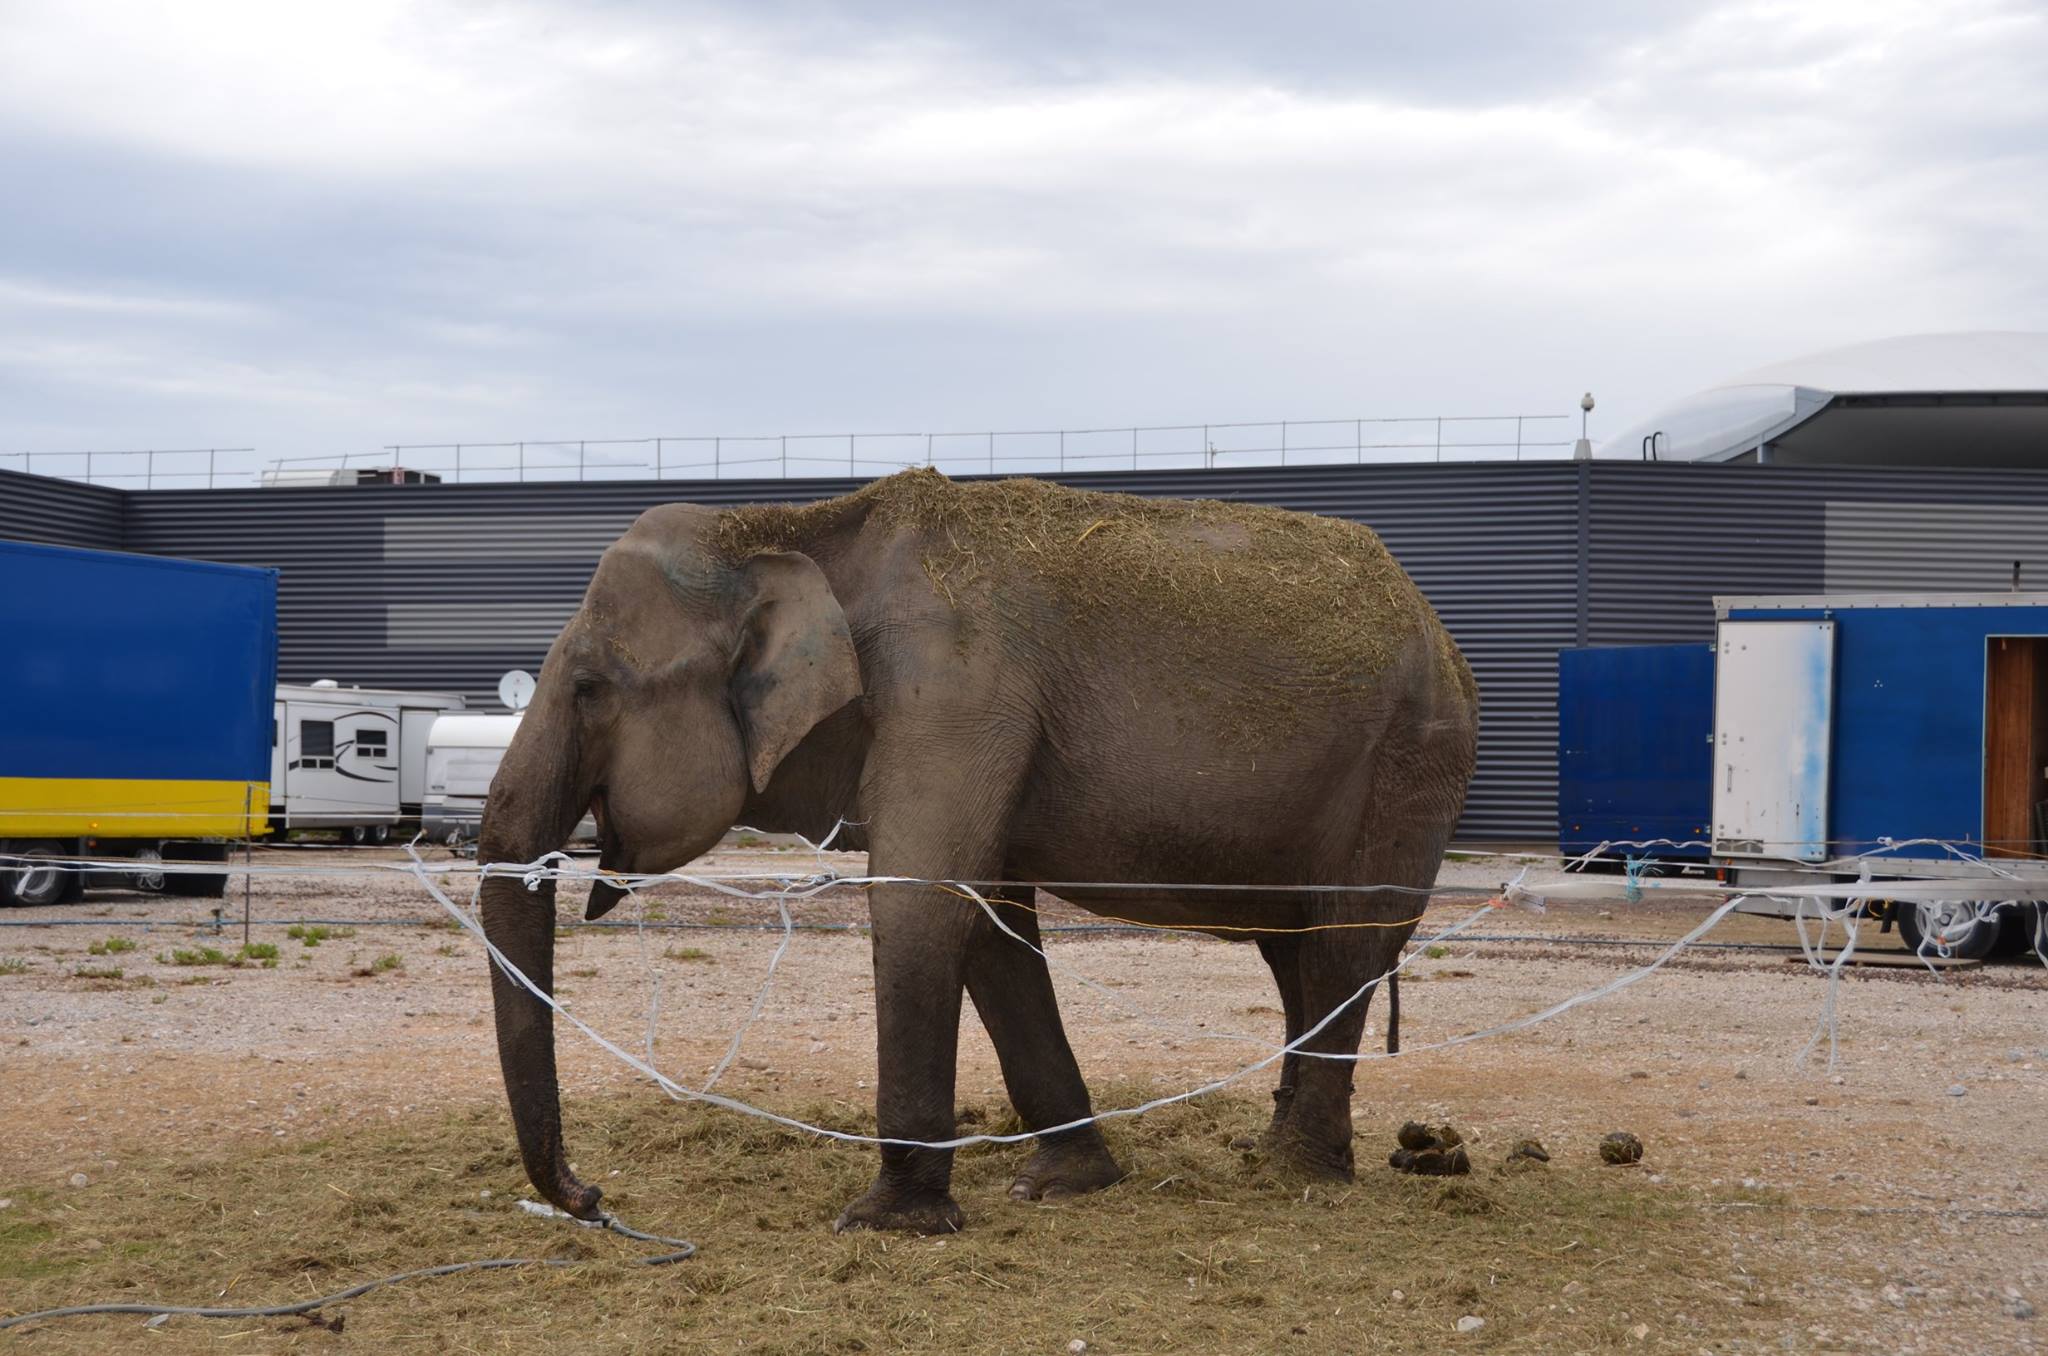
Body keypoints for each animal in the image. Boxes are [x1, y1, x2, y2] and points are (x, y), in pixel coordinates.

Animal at [477, 468, 1478, 1234]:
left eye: (591, 687)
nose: (594, 1197)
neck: (791, 527)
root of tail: (1438, 627)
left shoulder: (956, 692)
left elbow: (922, 901)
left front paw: (883, 1224)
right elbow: (991, 923)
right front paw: (1059, 1186)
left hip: (1410, 761)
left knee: (1347, 940)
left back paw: (1294, 1176)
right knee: (1295, 954)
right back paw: (1274, 1152)